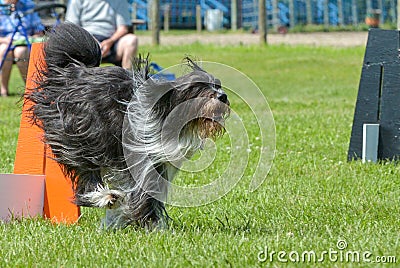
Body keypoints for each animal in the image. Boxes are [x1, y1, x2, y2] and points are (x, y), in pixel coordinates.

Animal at [26, 22, 230, 229]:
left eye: (218, 85)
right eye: (197, 88)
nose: (223, 96)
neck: (165, 114)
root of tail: (75, 72)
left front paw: (125, 219)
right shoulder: (141, 156)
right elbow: (142, 191)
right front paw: (150, 223)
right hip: (83, 136)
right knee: (85, 171)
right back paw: (106, 197)